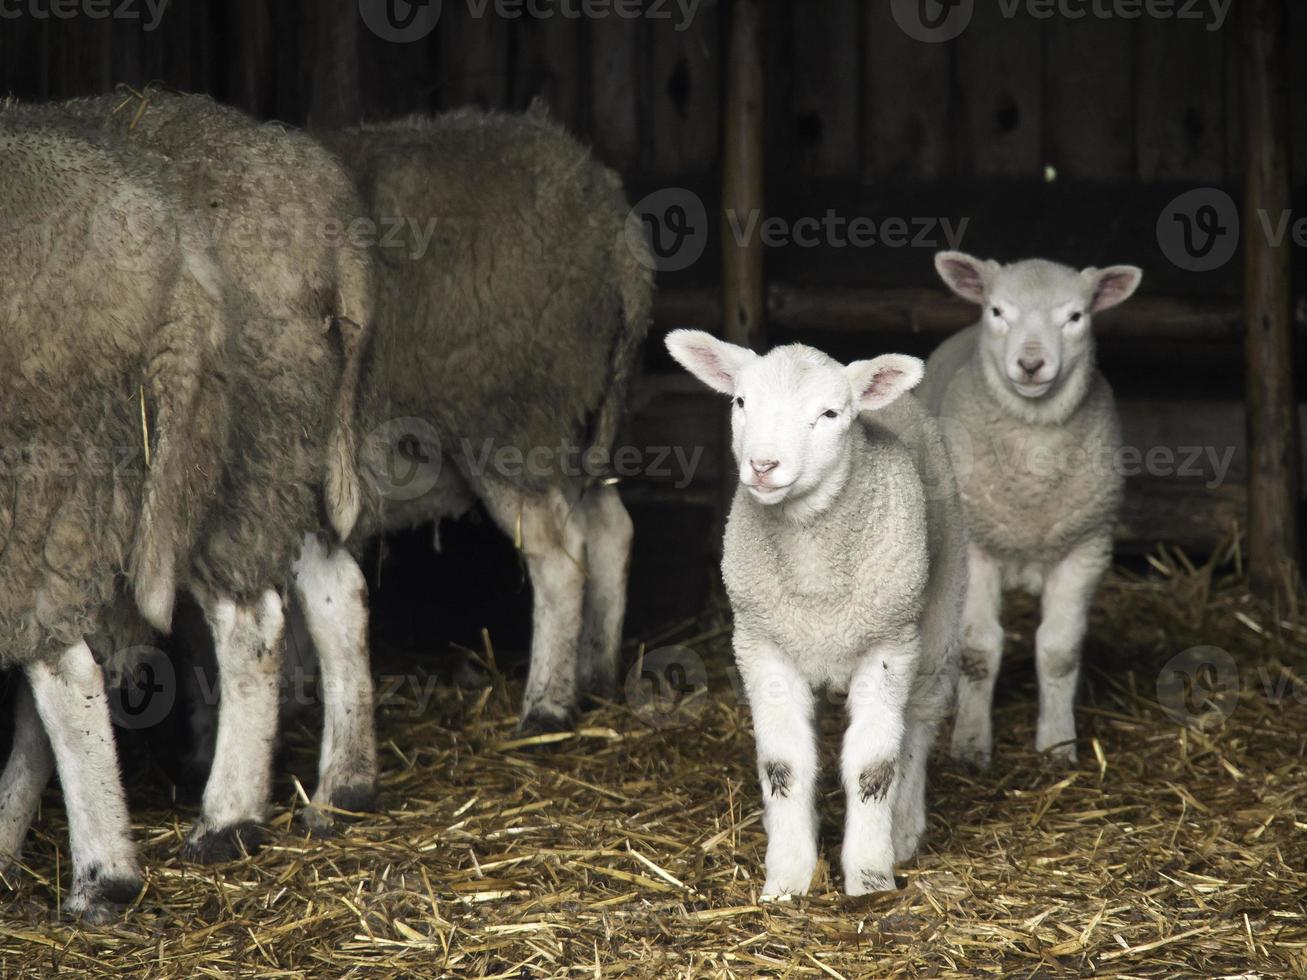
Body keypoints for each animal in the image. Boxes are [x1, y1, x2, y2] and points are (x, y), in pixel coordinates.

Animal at [669, 334, 967, 904]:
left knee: (920, 720)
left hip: (939, 613)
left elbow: (874, 767)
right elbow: (785, 765)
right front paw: (787, 876)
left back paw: (903, 830)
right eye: (741, 402)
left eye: (829, 414)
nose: (763, 465)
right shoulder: (762, 644)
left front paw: (869, 877)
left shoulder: (888, 645)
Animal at [920, 250, 1144, 768]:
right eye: (998, 311)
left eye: (1076, 317)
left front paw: (1059, 745)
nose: (1031, 363)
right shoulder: (975, 549)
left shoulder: (1085, 548)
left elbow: (1058, 651)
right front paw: (970, 746)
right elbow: (978, 651)